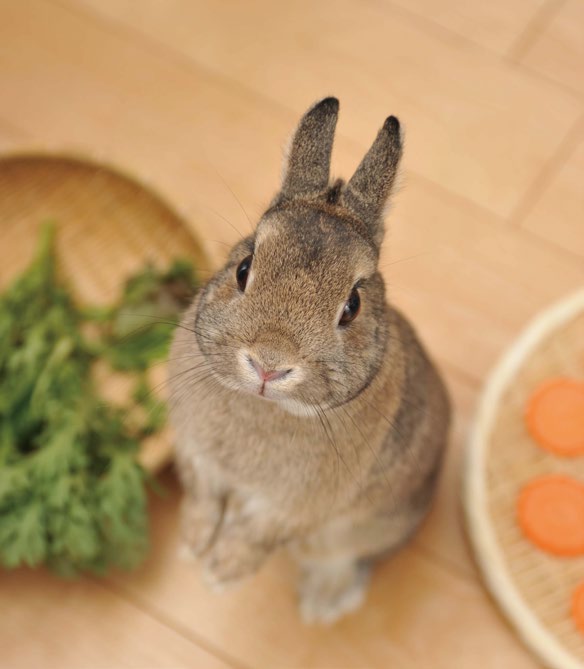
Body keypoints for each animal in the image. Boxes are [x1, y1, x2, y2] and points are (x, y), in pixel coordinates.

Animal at [169, 96, 452, 624]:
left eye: (352, 305)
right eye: (244, 268)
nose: (269, 363)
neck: (265, 406)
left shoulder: (297, 507)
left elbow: (257, 536)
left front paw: (219, 576)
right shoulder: (198, 460)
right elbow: (201, 502)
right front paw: (192, 547)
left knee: (345, 561)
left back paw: (321, 606)